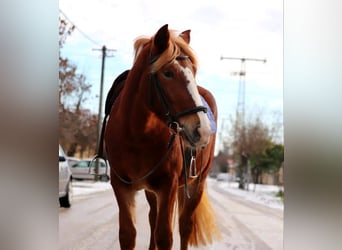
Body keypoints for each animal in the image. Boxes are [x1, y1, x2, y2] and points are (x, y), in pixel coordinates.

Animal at [101, 23, 220, 250]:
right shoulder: (121, 187)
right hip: (152, 191)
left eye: (193, 71)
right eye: (168, 73)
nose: (202, 130)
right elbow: (128, 234)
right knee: (153, 218)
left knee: (184, 225)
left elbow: (165, 236)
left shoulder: (169, 187)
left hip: (196, 184)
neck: (137, 135)